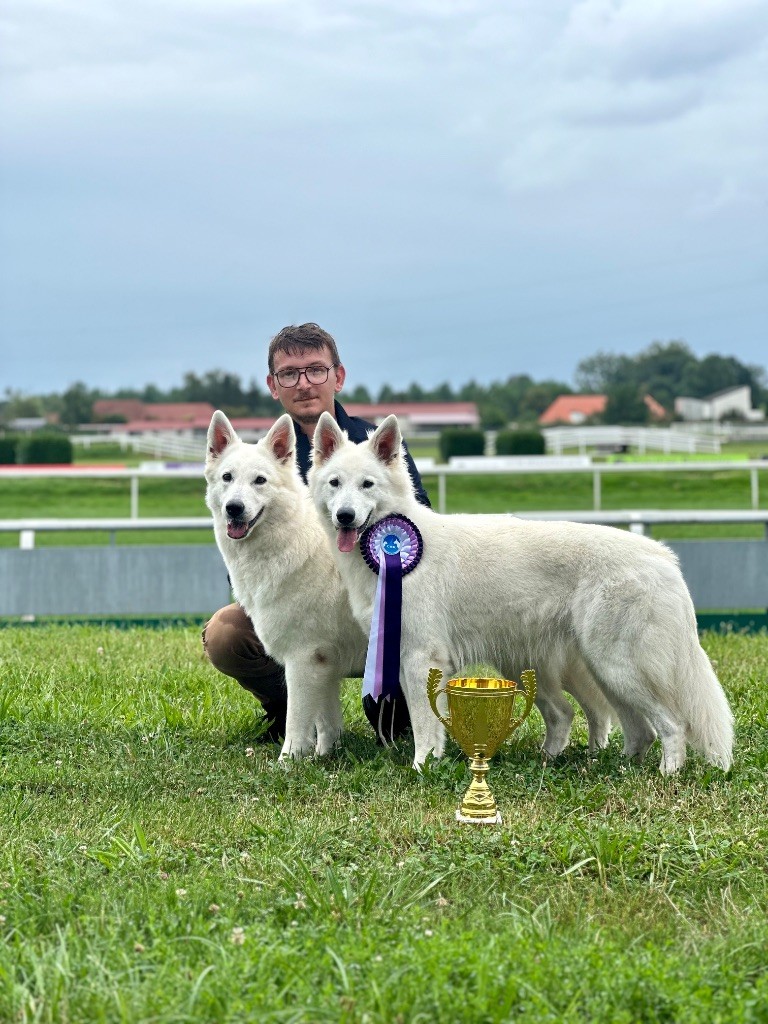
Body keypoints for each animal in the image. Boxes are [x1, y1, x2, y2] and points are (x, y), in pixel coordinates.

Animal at [309, 412, 734, 774]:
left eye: (367, 484)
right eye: (335, 483)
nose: (344, 516)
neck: (393, 551)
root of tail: (663, 558)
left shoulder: (420, 660)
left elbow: (426, 726)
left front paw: (422, 767)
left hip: (616, 666)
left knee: (673, 724)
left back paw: (667, 774)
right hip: (598, 669)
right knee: (636, 729)